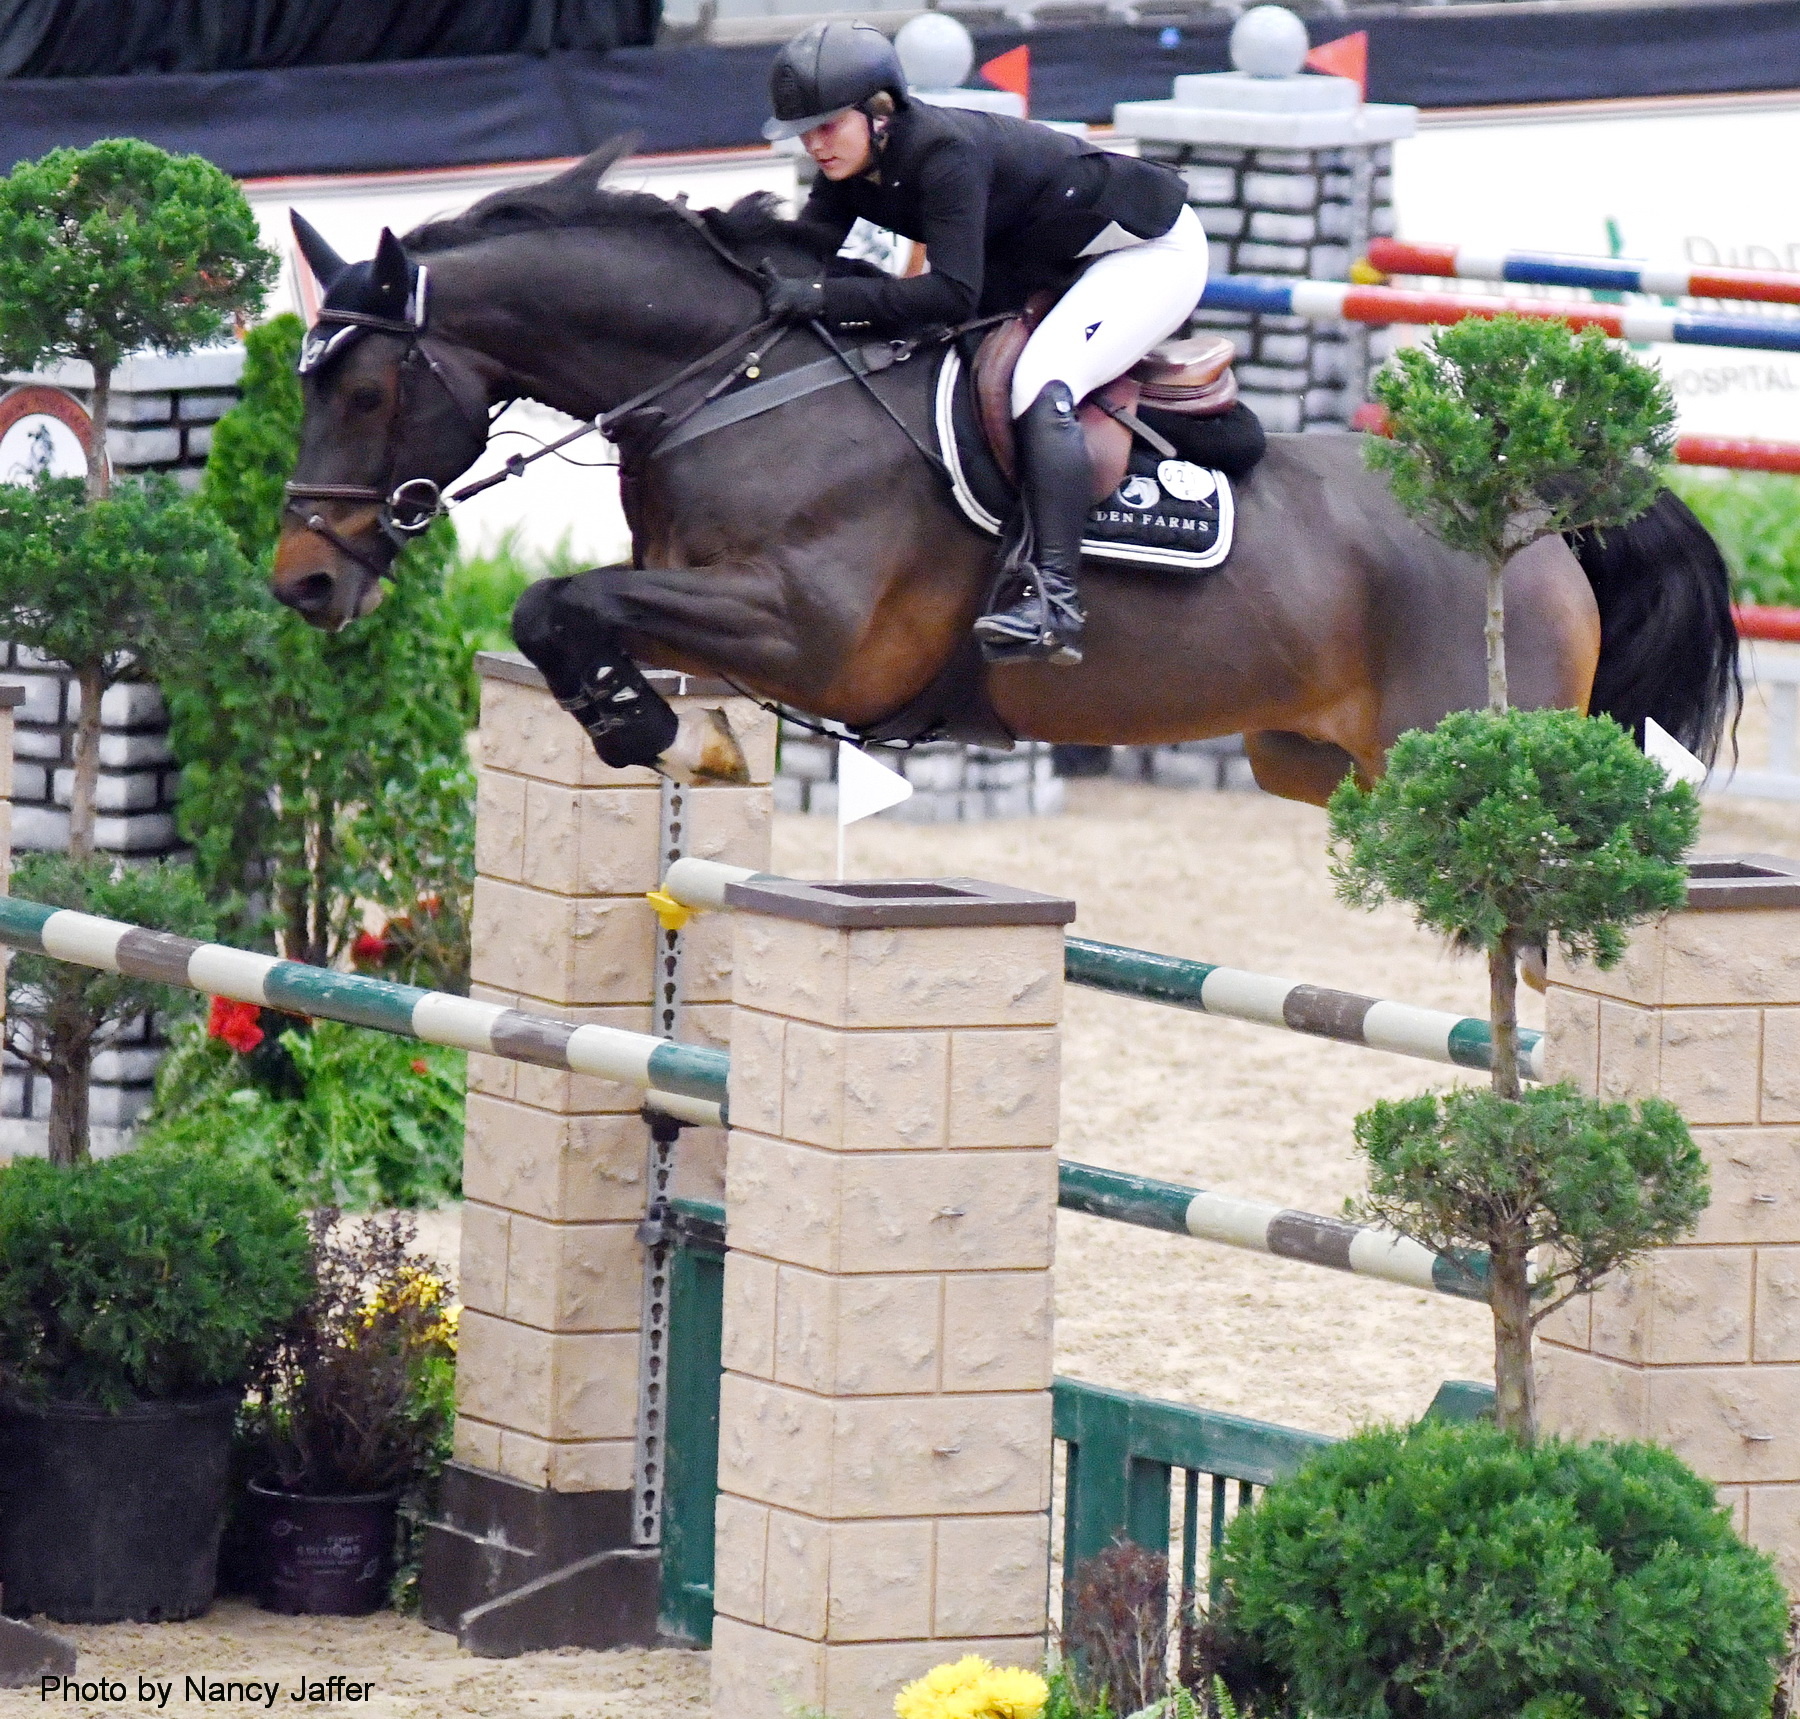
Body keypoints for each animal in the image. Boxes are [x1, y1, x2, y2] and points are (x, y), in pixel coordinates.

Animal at [272, 139, 1738, 803]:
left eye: (363, 389)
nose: (298, 585)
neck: (732, 383)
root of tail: (1536, 520)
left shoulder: (809, 630)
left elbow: (559, 599)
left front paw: (633, 725)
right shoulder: (707, 603)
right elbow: (565, 612)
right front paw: (643, 721)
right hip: (1318, 765)